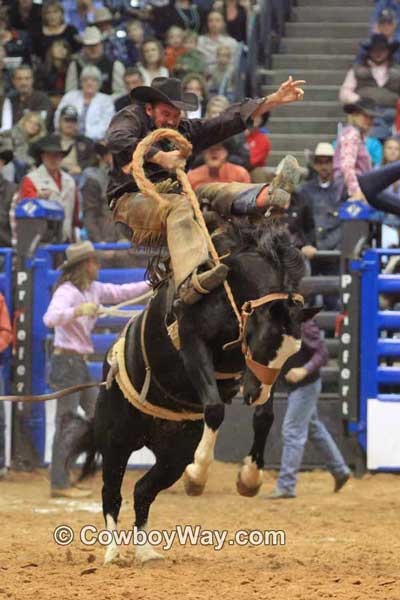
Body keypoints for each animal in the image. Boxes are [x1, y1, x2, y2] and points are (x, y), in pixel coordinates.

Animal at [71, 219, 312, 564]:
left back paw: (145, 551)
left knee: (142, 490)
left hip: (173, 456)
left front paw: (249, 477)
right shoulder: (193, 345)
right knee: (111, 494)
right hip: (116, 440)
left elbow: (265, 416)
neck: (229, 289)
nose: (255, 394)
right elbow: (215, 409)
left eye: (292, 353)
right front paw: (198, 473)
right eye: (266, 344)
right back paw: (113, 552)